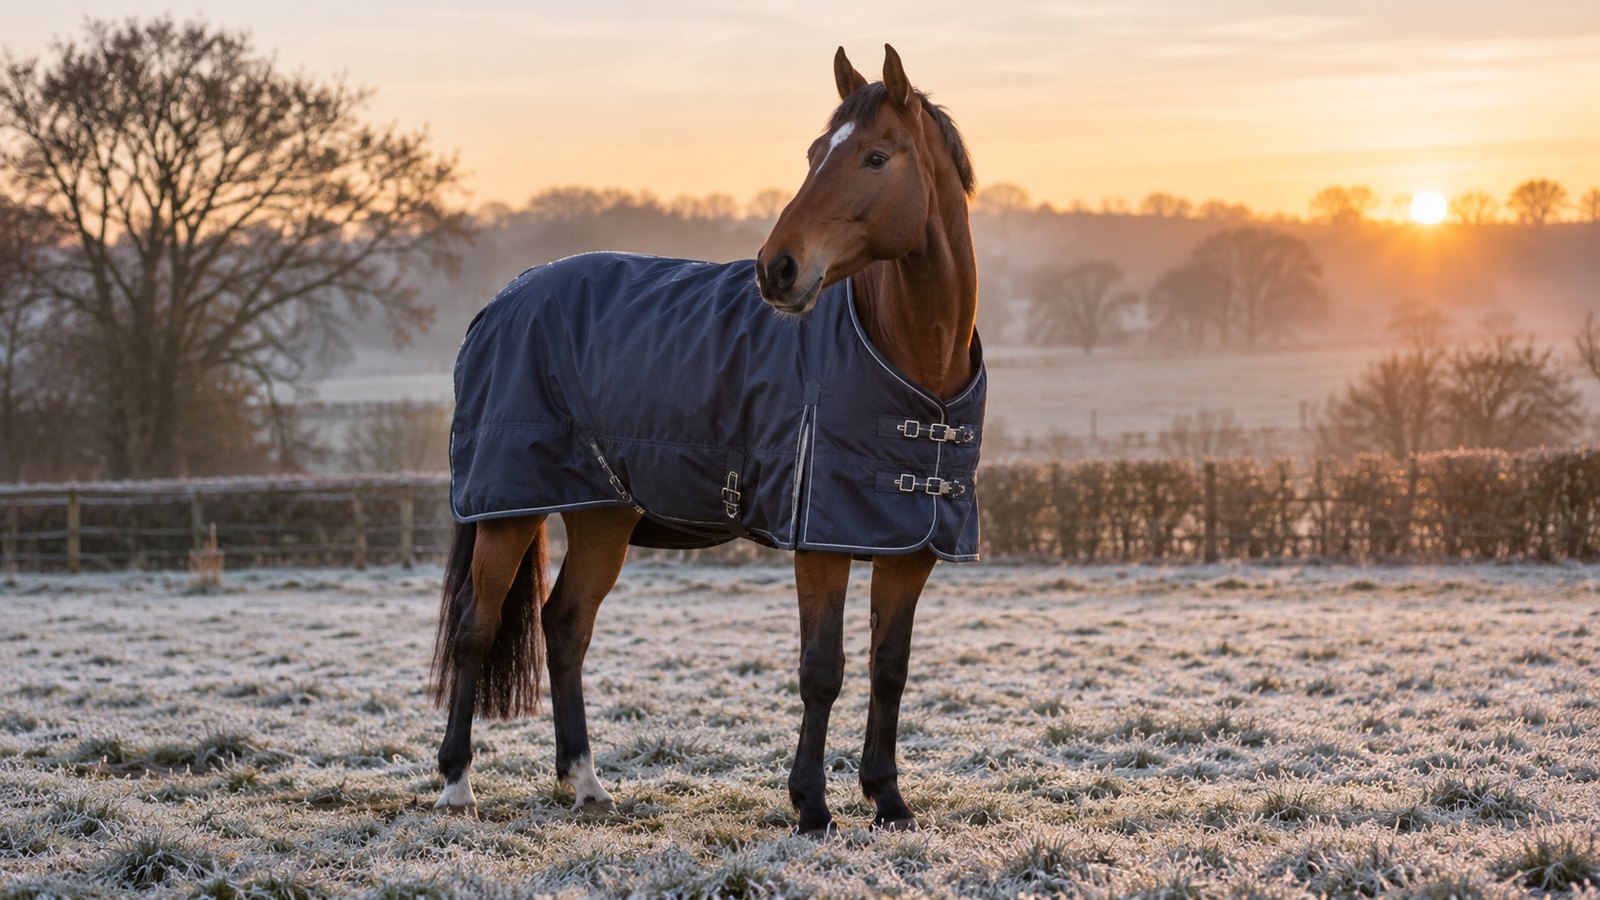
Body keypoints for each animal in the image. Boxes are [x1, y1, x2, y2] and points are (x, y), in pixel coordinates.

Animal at [430, 44, 982, 837]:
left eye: (876, 156)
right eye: (815, 152)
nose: (777, 268)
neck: (909, 361)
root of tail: (503, 301)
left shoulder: (909, 547)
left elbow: (889, 668)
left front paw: (889, 800)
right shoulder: (819, 543)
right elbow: (823, 670)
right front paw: (812, 807)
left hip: (602, 517)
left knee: (565, 626)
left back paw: (586, 783)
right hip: (509, 509)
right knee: (476, 628)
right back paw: (456, 786)